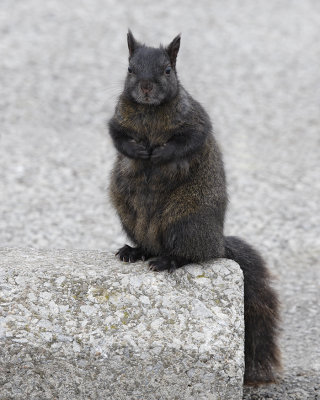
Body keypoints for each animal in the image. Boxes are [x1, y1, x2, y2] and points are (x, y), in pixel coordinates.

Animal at [109, 29, 282, 386]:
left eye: (167, 70)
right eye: (130, 69)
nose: (145, 87)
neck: (150, 112)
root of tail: (217, 242)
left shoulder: (195, 119)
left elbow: (188, 141)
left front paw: (160, 153)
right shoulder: (116, 118)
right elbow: (118, 136)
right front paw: (137, 150)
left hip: (183, 222)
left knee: (190, 255)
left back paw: (168, 261)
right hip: (128, 215)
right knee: (148, 244)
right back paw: (135, 251)